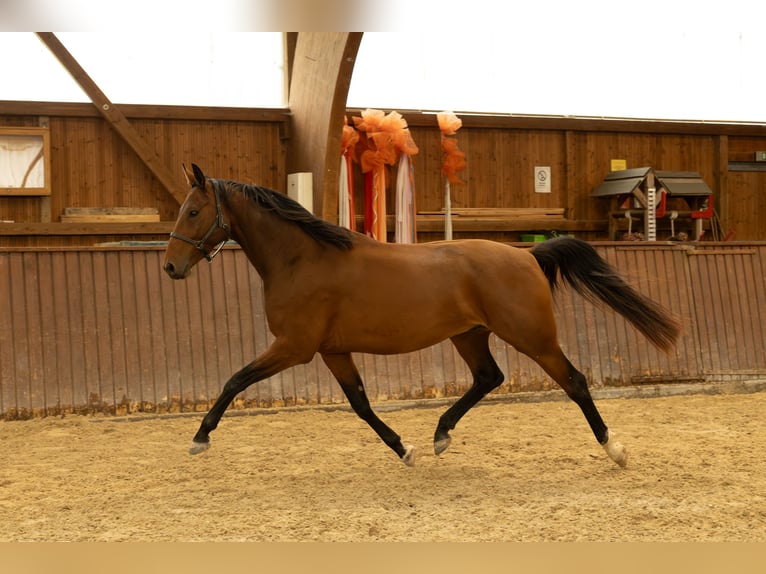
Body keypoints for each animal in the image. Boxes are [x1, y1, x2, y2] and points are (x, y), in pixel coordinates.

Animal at [163, 164, 679, 468]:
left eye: (193, 212)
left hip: (531, 335)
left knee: (573, 380)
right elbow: (360, 404)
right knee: (489, 378)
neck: (302, 258)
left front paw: (200, 438)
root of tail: (526, 255)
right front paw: (405, 449)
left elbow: (235, 380)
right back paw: (440, 434)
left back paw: (615, 450)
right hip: (470, 335)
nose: (169, 267)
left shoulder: (294, 347)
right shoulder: (331, 351)